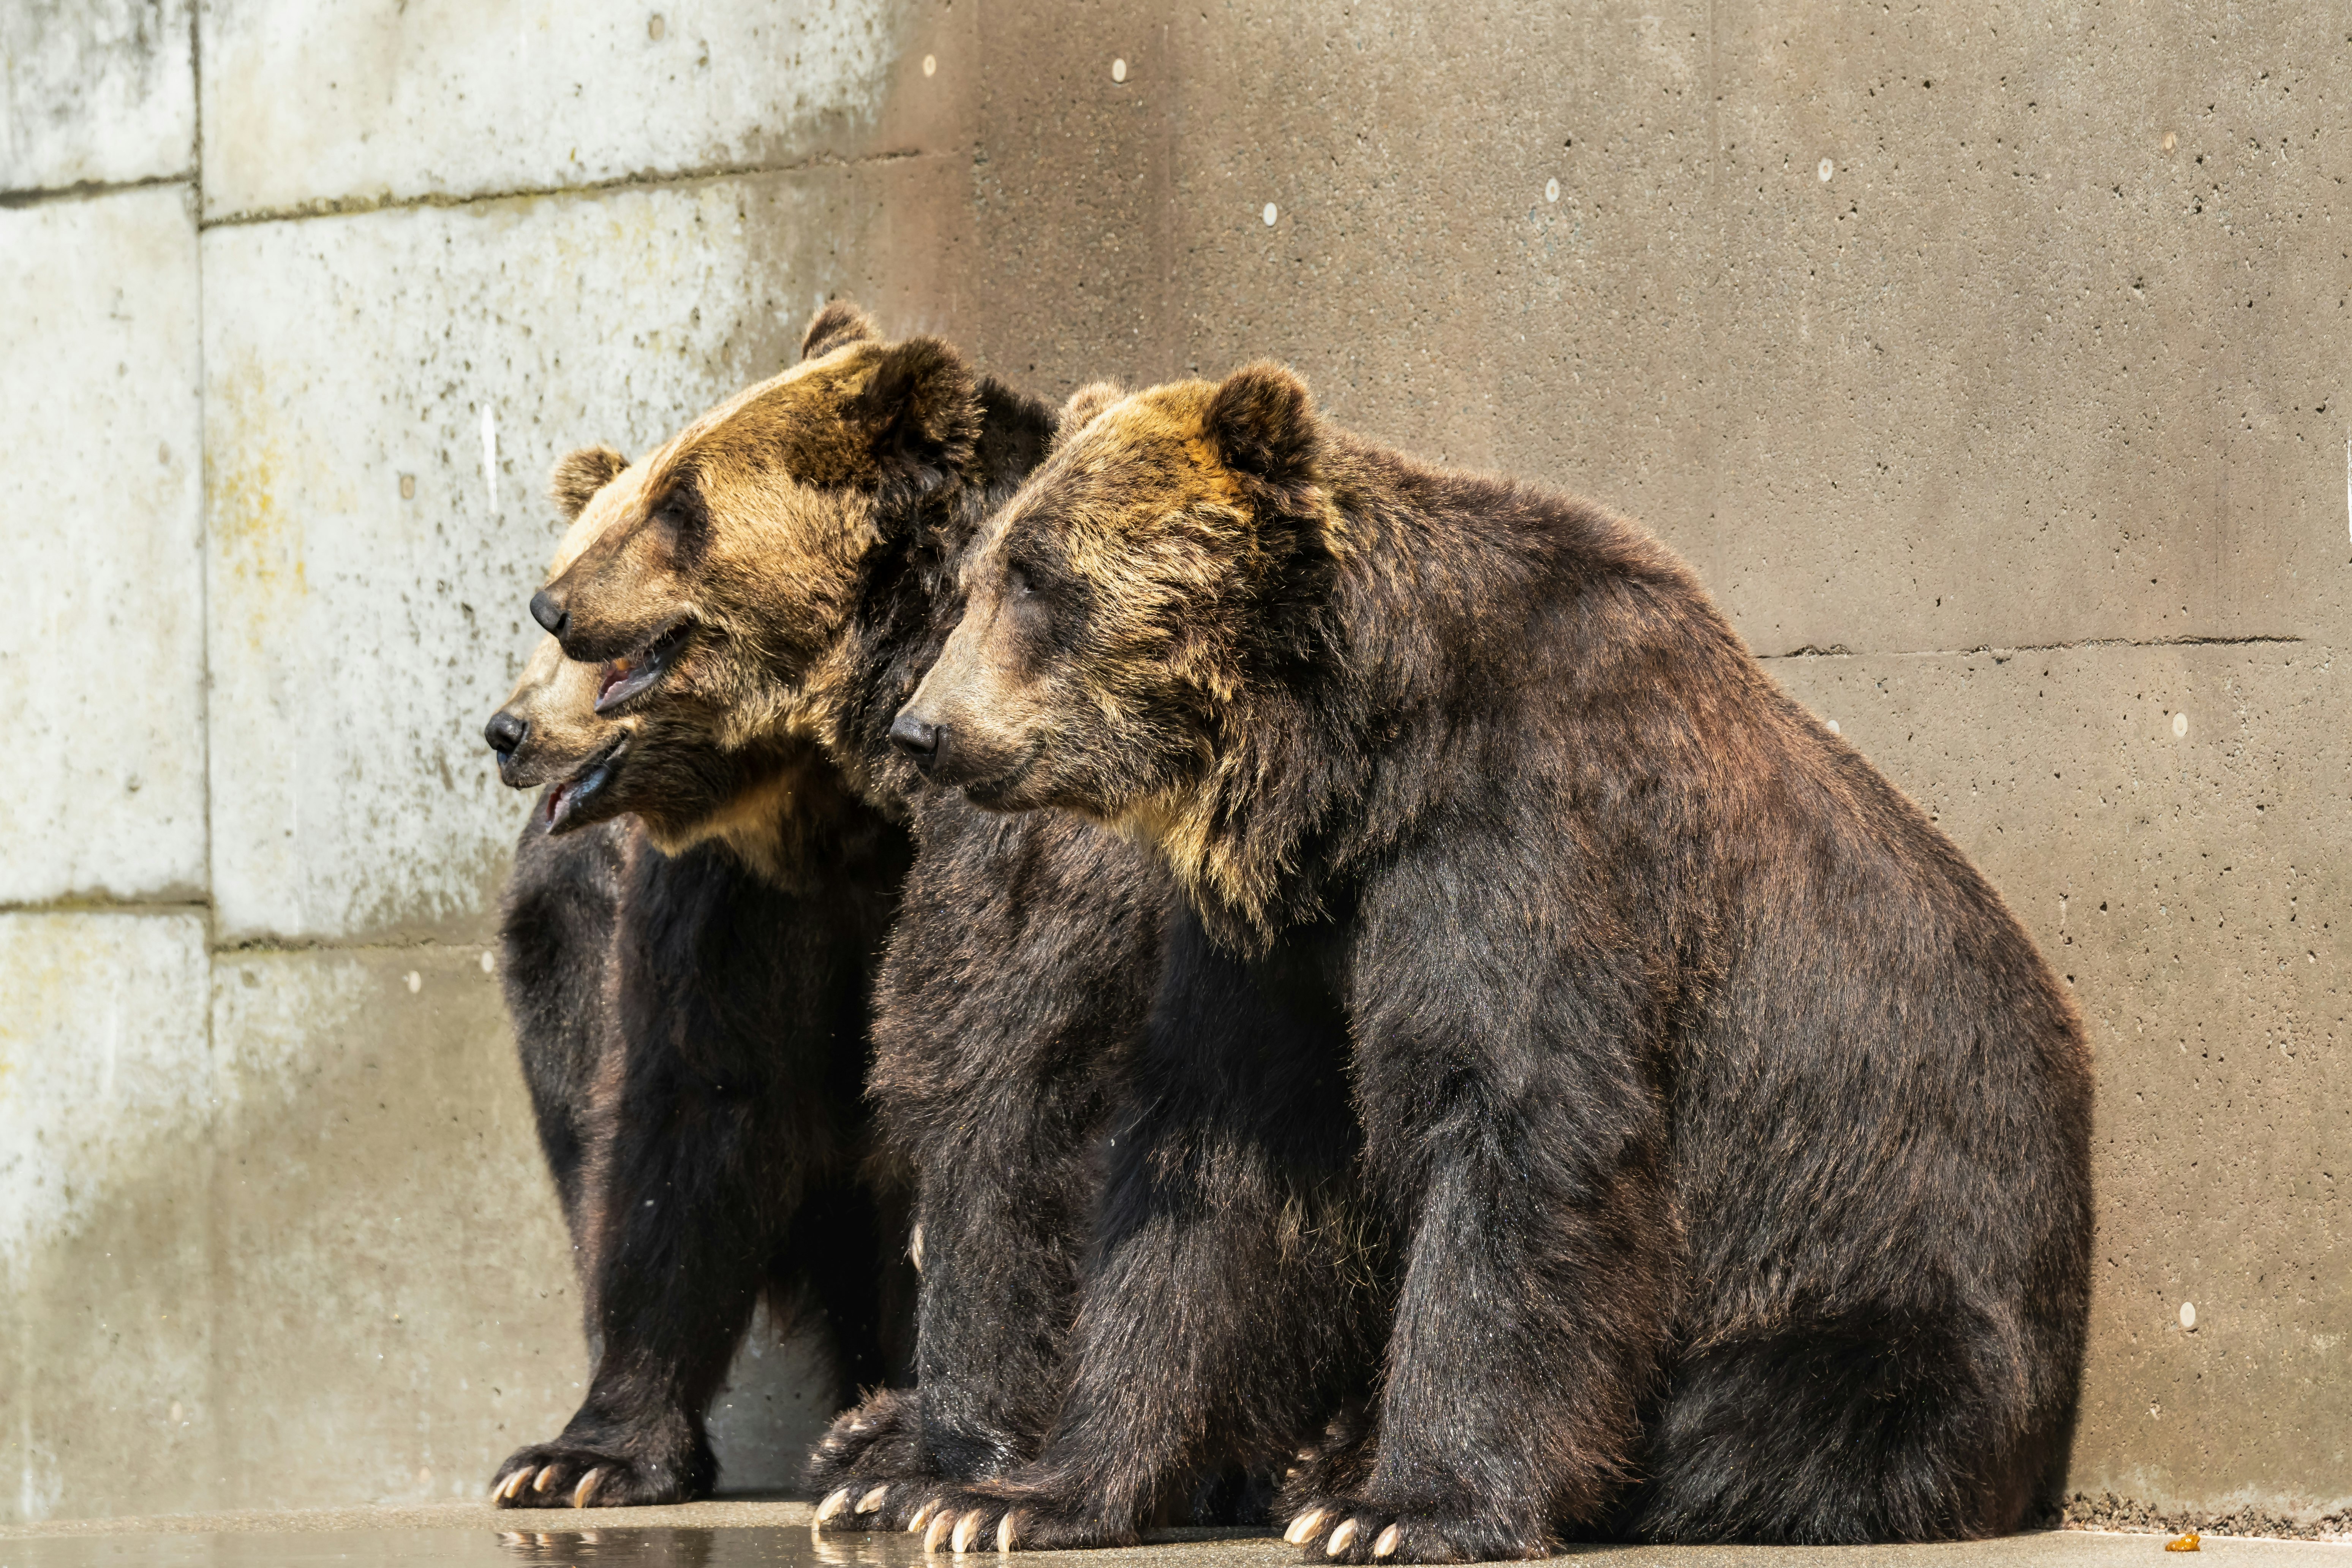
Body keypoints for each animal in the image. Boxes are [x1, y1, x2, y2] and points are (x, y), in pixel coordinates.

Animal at [522, 310, 1388, 1534]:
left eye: (679, 500)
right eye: (647, 488)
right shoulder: (765, 888)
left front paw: (943, 1472)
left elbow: (1004, 1073)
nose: (553, 606)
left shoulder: (1023, 802)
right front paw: (582, 1453)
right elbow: (700, 1099)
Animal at [886, 362, 2095, 1558]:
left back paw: (1348, 1463)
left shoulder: (1535, 833)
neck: (1356, 769)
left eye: (1038, 579)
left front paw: (1399, 1508)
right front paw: (1013, 1496)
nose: (919, 730)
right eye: (985, 574)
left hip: (1882, 1280)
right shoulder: (1281, 949)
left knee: (1770, 1417)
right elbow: (1207, 1176)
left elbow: (1518, 1127)